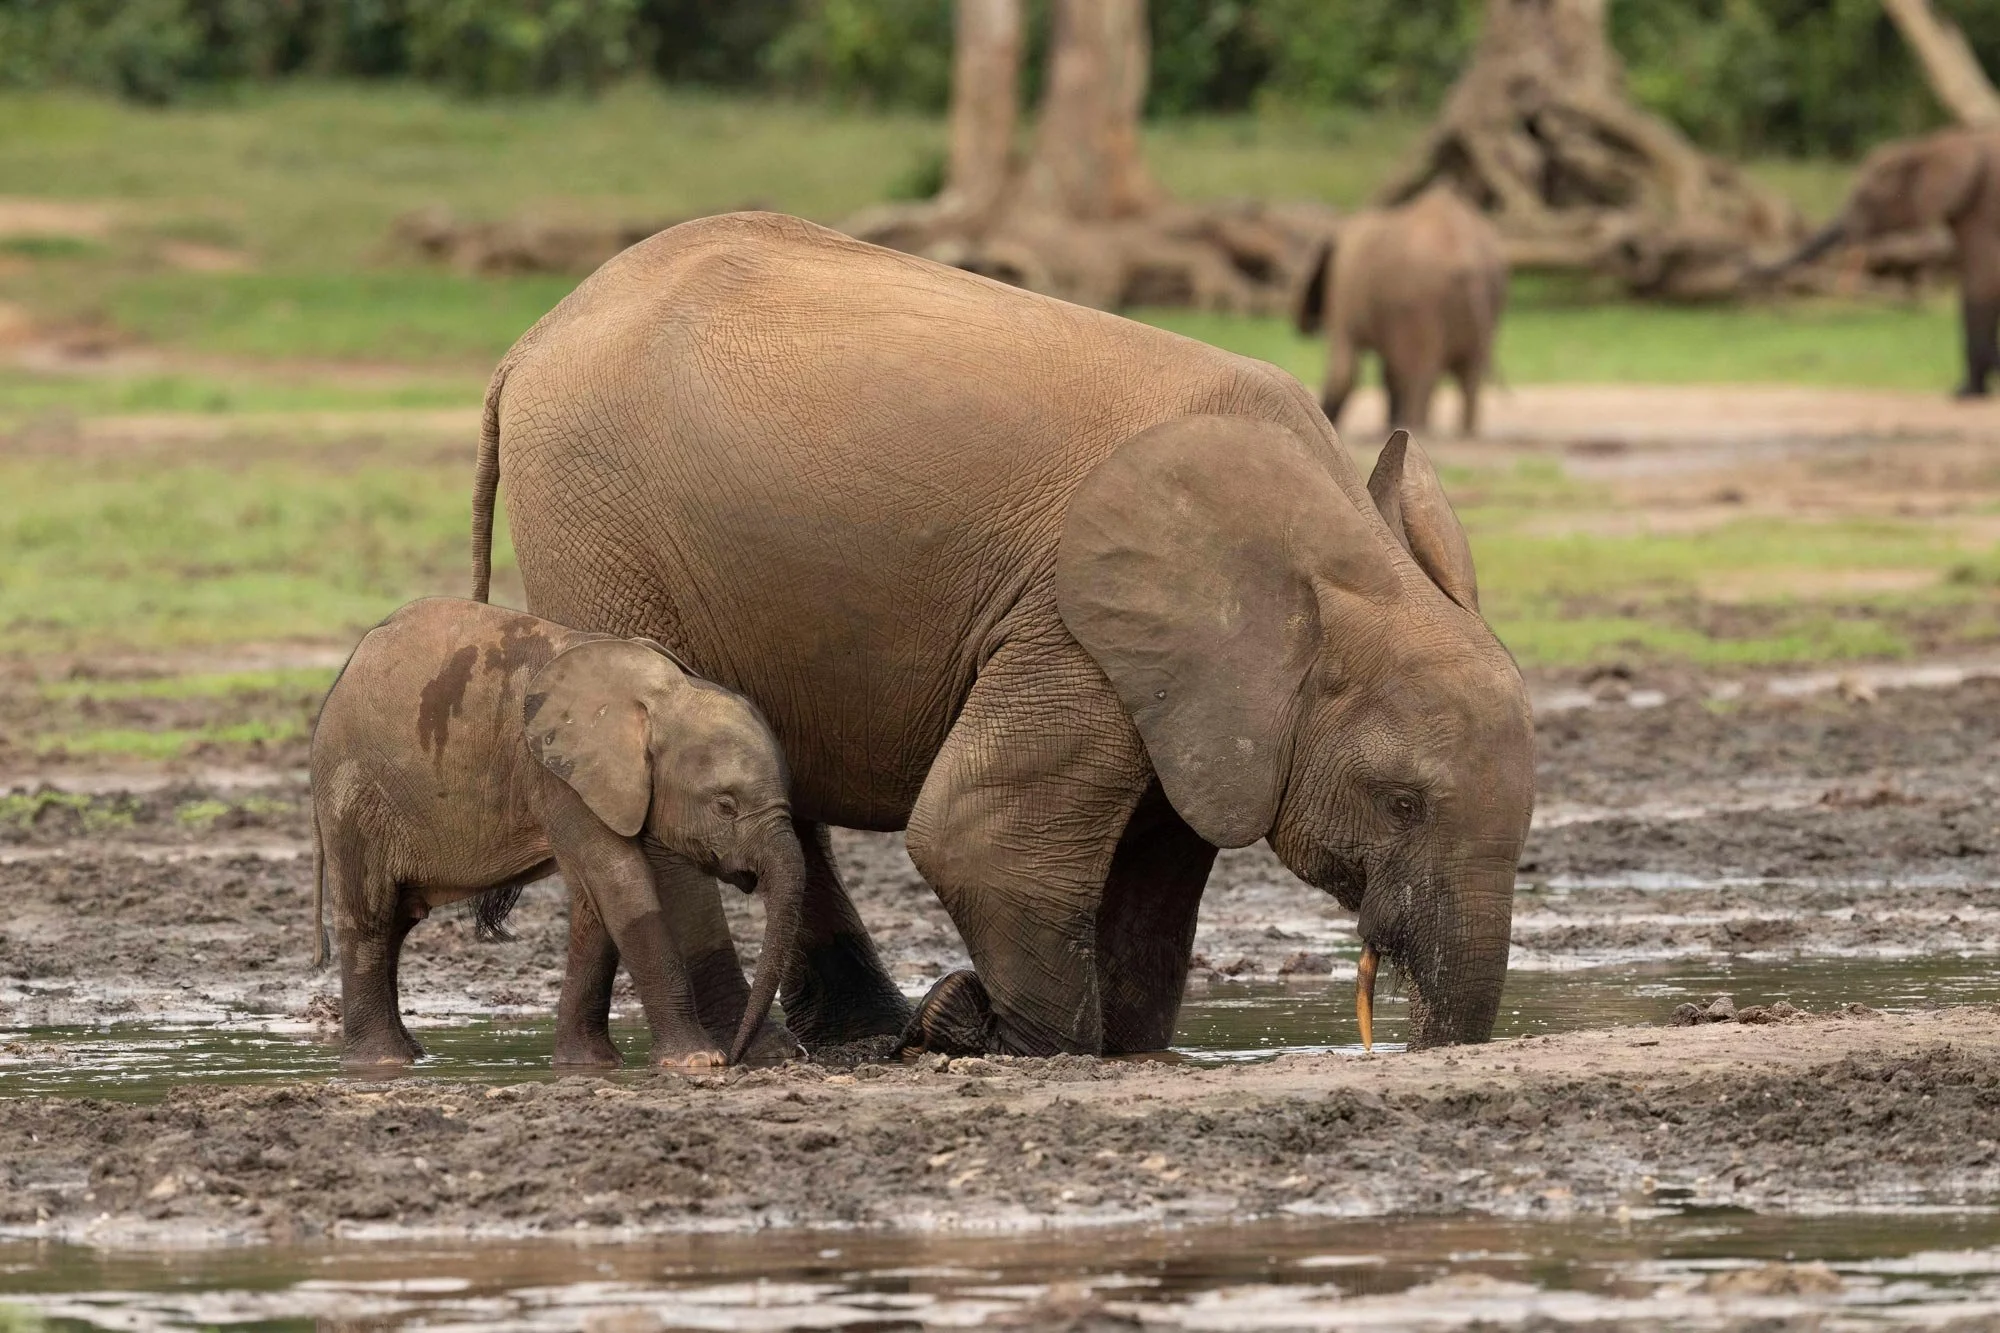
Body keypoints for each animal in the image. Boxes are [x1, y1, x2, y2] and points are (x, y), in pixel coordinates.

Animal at [310, 596, 804, 1069]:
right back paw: (382, 1061)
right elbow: (620, 885)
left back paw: (412, 1055)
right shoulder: (558, 777)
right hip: (356, 791)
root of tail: (346, 671)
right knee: (370, 913)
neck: (662, 693)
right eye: (725, 806)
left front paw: (588, 1064)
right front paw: (697, 1061)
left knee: (397, 920)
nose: (742, 1055)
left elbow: (595, 905)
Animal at [469, 212, 1535, 1056]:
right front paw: (993, 1034)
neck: (1336, 549)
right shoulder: (1070, 621)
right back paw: (768, 1046)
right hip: (598, 528)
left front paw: (1090, 1040)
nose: (1407, 1039)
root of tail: (528, 343)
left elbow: (1153, 873)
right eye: (1401, 803)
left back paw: (860, 1035)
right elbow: (978, 838)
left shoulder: (1187, 688)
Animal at [1296, 185, 1508, 435]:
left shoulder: (1343, 287)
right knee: (1468, 380)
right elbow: (1390, 373)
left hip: (1421, 304)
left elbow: (1344, 370)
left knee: (1422, 379)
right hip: (1489, 299)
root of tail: (1468, 258)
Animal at [1772, 126, 2000, 397]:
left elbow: (1981, 281)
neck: (1924, 145)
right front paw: (1971, 389)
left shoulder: (1982, 208)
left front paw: (1967, 393)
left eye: (1866, 196)